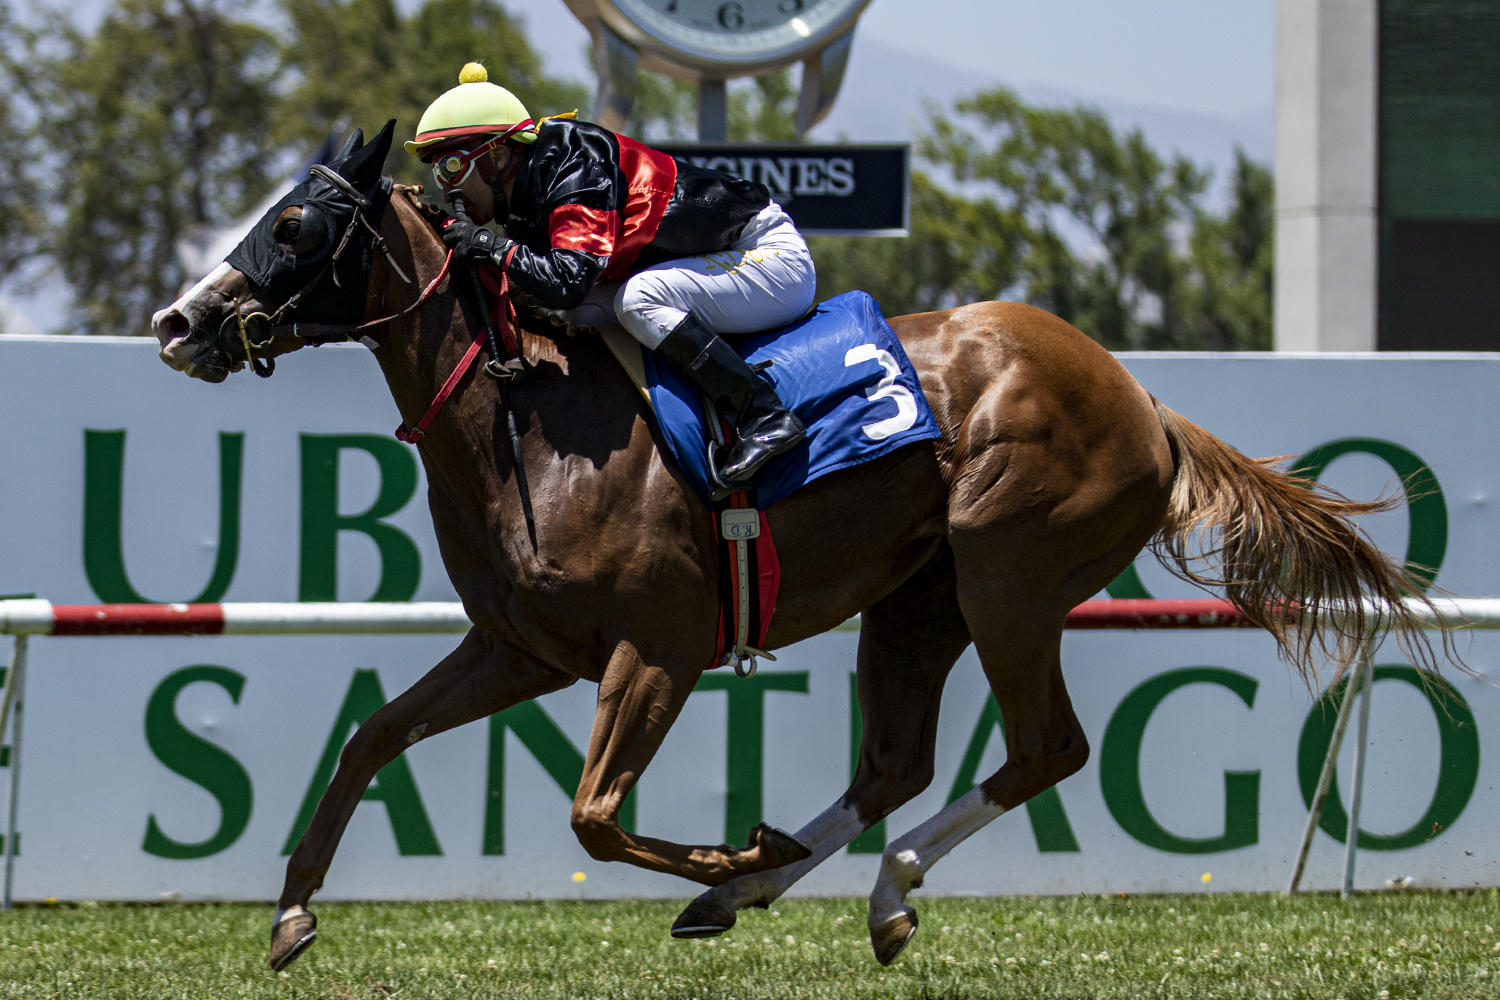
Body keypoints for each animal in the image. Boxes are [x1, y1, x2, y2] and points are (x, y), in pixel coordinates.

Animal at [150, 122, 1436, 971]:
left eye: (297, 222)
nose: (178, 321)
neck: (529, 418)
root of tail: (1146, 402)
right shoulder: (522, 649)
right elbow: (371, 736)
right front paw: (291, 913)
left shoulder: (658, 648)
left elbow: (594, 815)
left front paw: (722, 861)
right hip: (918, 600)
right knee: (896, 764)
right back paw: (789, 883)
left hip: (1011, 577)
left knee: (1046, 748)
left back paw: (860, 889)